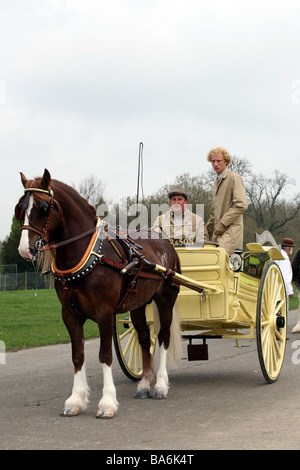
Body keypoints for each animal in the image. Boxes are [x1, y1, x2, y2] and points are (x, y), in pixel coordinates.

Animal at [15, 170, 182, 418]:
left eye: (43, 208)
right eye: (20, 209)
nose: (25, 250)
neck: (90, 256)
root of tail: (164, 241)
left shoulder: (104, 313)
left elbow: (105, 356)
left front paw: (107, 402)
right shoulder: (70, 315)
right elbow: (78, 355)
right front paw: (75, 400)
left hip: (165, 300)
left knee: (163, 338)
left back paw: (160, 384)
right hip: (138, 305)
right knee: (144, 338)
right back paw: (144, 383)